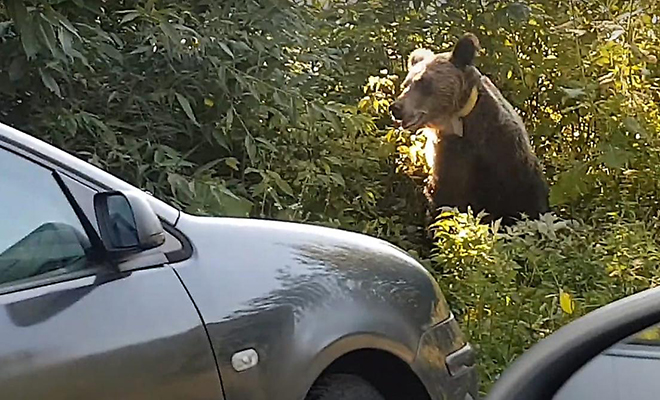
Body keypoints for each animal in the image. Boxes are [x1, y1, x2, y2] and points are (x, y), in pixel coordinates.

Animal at [390, 32, 548, 227]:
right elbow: (445, 202)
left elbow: (525, 201)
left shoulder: (506, 153)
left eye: (424, 83)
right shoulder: (450, 158)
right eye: (406, 84)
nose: (396, 108)